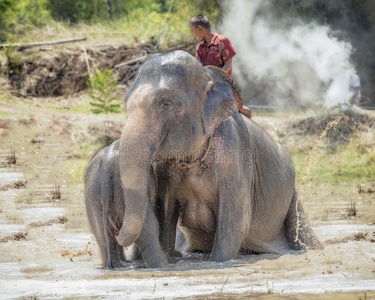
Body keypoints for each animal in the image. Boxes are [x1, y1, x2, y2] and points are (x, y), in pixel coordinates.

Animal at [85, 139, 169, 268]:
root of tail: (107, 165)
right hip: (125, 194)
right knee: (147, 227)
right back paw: (162, 265)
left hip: (93, 197)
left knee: (103, 237)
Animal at [115, 50, 324, 264]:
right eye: (125, 101)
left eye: (166, 103)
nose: (117, 236)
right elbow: (166, 213)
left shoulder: (234, 155)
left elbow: (235, 220)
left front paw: (218, 262)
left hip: (293, 198)